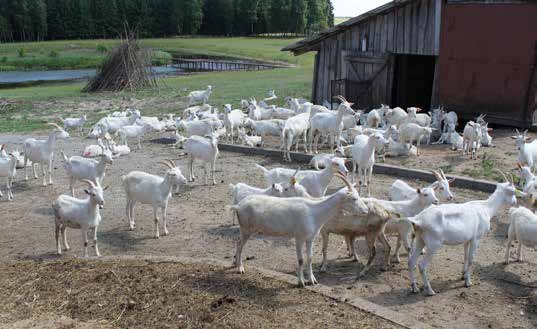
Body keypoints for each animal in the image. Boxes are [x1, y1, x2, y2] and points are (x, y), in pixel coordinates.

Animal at [230, 174, 368, 284]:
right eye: (353, 198)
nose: (366, 211)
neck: (314, 211)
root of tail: (238, 205)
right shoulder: (299, 237)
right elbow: (301, 259)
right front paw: (301, 282)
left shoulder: (310, 238)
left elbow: (310, 257)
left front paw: (312, 280)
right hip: (246, 229)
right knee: (239, 244)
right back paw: (240, 268)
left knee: (238, 243)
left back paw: (235, 264)